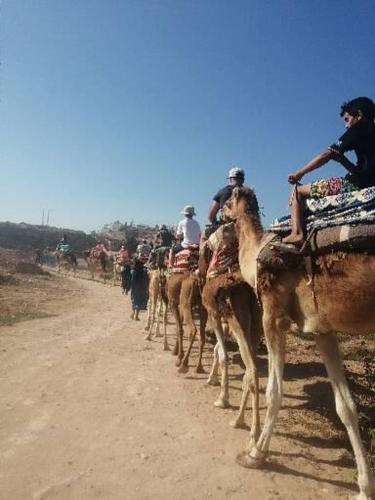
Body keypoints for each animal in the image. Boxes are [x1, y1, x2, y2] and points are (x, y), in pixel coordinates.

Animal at [200, 223, 262, 446]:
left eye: (214, 232)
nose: (207, 242)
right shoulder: (224, 322)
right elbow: (218, 350)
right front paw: (211, 379)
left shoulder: (215, 315)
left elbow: (223, 355)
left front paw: (222, 398)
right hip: (254, 327)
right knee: (249, 371)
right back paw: (238, 421)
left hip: (239, 324)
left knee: (252, 370)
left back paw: (253, 435)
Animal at [223, 186, 375, 498]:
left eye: (227, 199)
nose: (220, 214)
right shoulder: (323, 331)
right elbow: (346, 407)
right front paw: (364, 487)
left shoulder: (273, 316)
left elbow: (274, 392)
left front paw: (255, 454)